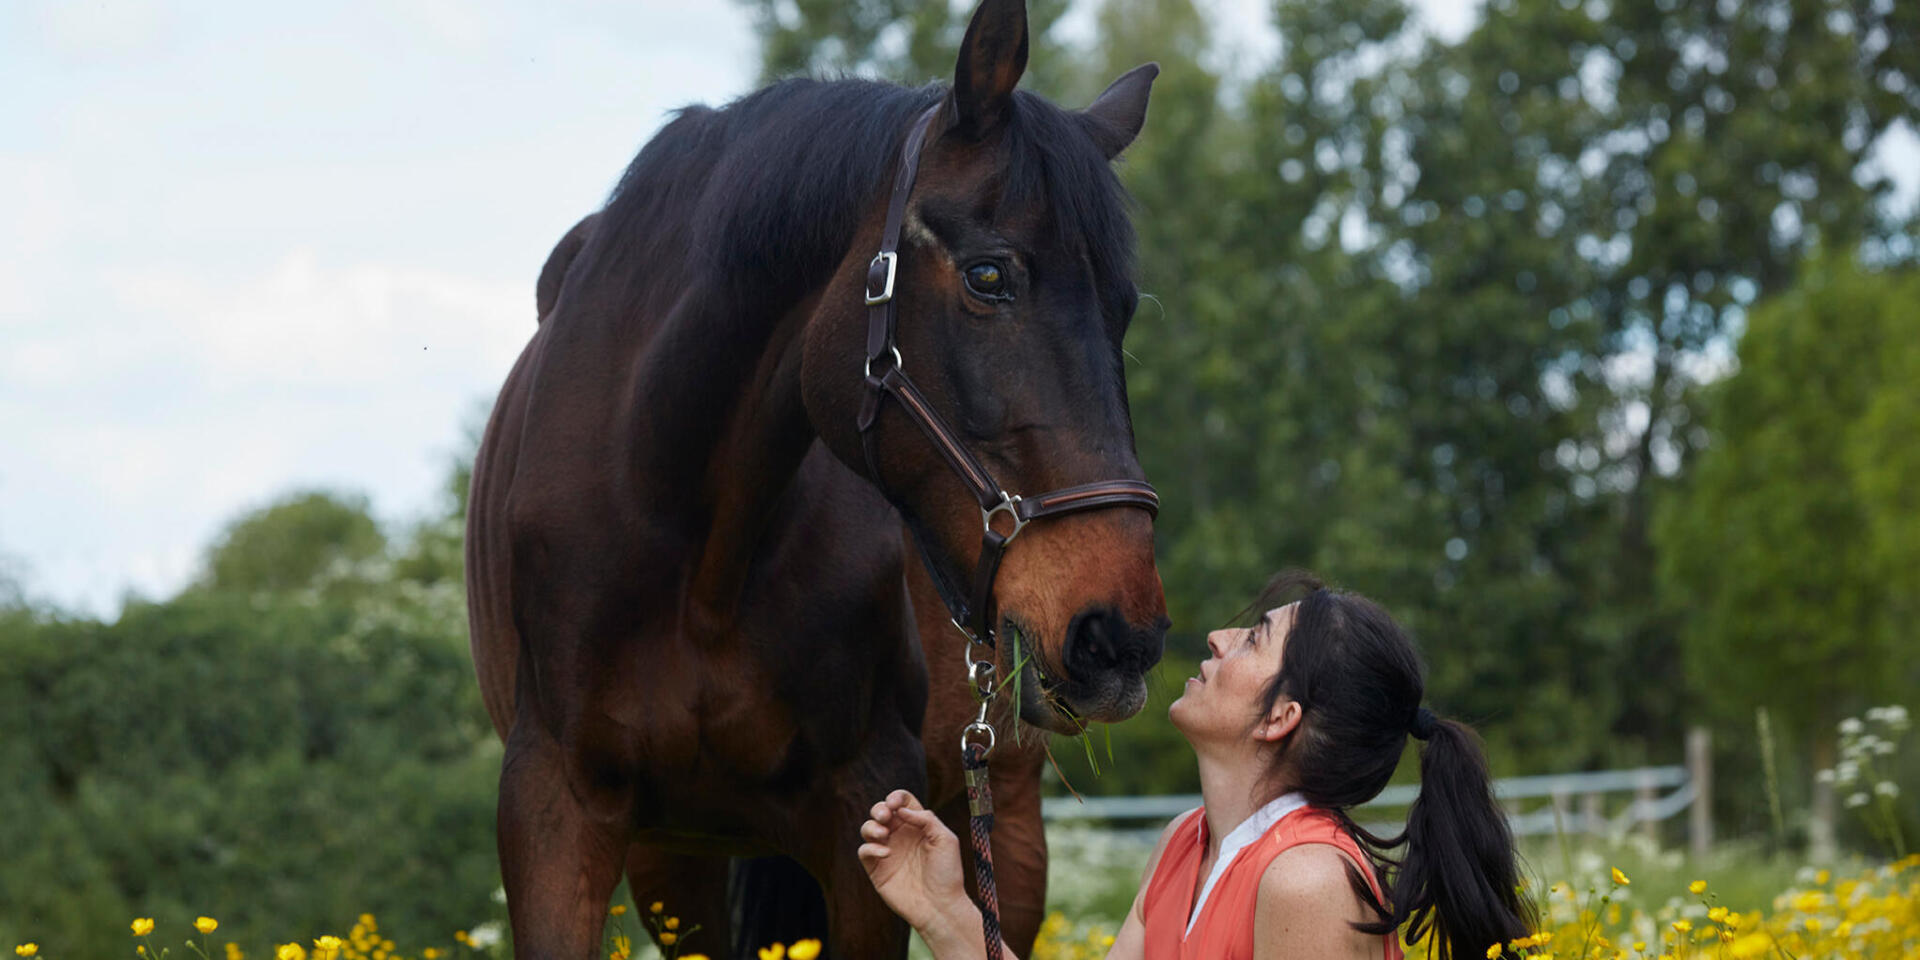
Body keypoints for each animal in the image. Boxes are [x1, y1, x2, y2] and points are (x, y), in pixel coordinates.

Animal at [464, 3, 1167, 956]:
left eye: (1123, 309)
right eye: (989, 275)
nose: (1118, 633)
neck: (694, 552)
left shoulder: (866, 813)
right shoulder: (553, 808)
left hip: (1009, 819)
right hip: (676, 862)